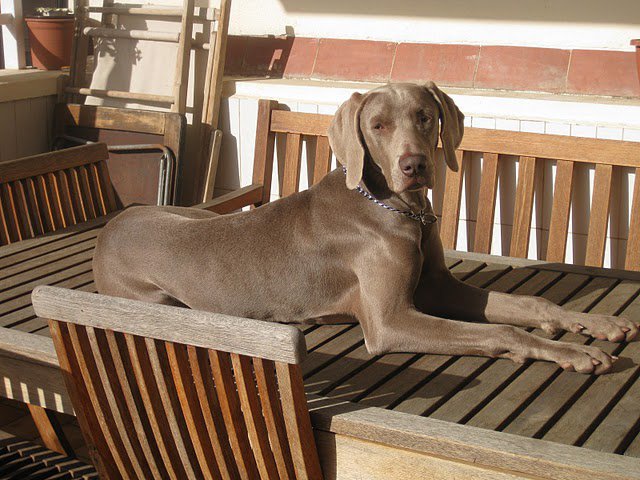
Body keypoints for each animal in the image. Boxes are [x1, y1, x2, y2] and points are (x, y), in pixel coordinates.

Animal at [92, 81, 636, 376]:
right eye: (377, 126)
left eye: (425, 115)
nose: (415, 166)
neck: (396, 209)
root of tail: (109, 228)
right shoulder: (391, 321)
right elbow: (502, 328)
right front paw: (572, 352)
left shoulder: (437, 287)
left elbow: (529, 304)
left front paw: (593, 324)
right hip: (159, 300)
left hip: (200, 215)